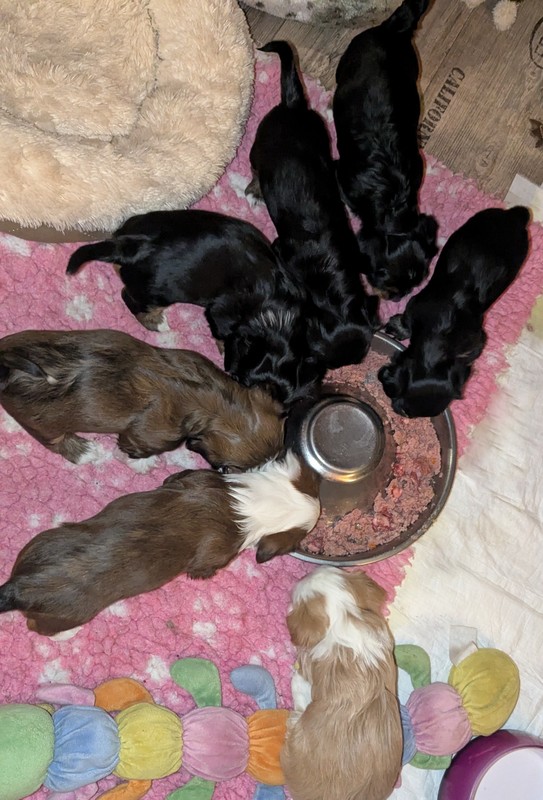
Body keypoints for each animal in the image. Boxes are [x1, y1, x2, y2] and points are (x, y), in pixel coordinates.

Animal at [0, 329, 285, 470]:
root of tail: (8, 367)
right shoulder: (149, 435)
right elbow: (137, 446)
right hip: (44, 425)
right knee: (56, 442)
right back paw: (85, 452)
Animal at [0, 451, 321, 636]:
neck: (252, 502)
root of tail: (20, 587)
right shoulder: (216, 555)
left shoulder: (196, 477)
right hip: (65, 616)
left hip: (40, 541)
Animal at [247, 41, 379, 371]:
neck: (329, 287)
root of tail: (293, 105)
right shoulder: (280, 249)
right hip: (257, 147)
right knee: (255, 167)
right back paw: (254, 190)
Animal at [333, 0, 438, 300]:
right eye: (386, 282)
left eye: (415, 285)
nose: (396, 297)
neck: (392, 202)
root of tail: (393, 28)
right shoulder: (342, 177)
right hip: (351, 54)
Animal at [379, 206, 531, 417]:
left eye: (406, 412)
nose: (397, 409)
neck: (442, 343)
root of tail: (514, 215)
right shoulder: (414, 305)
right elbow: (406, 321)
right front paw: (398, 327)